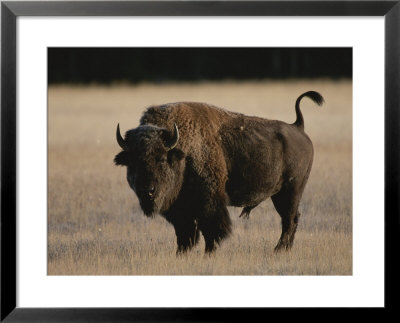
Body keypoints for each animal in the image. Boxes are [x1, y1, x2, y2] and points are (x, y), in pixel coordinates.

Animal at [114, 90, 324, 253]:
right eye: (133, 161)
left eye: (162, 159)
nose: (147, 191)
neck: (182, 152)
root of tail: (297, 126)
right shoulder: (180, 210)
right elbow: (185, 235)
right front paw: (181, 254)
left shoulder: (209, 202)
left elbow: (211, 231)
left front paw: (209, 253)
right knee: (292, 219)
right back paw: (283, 250)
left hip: (290, 191)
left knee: (289, 220)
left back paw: (278, 250)